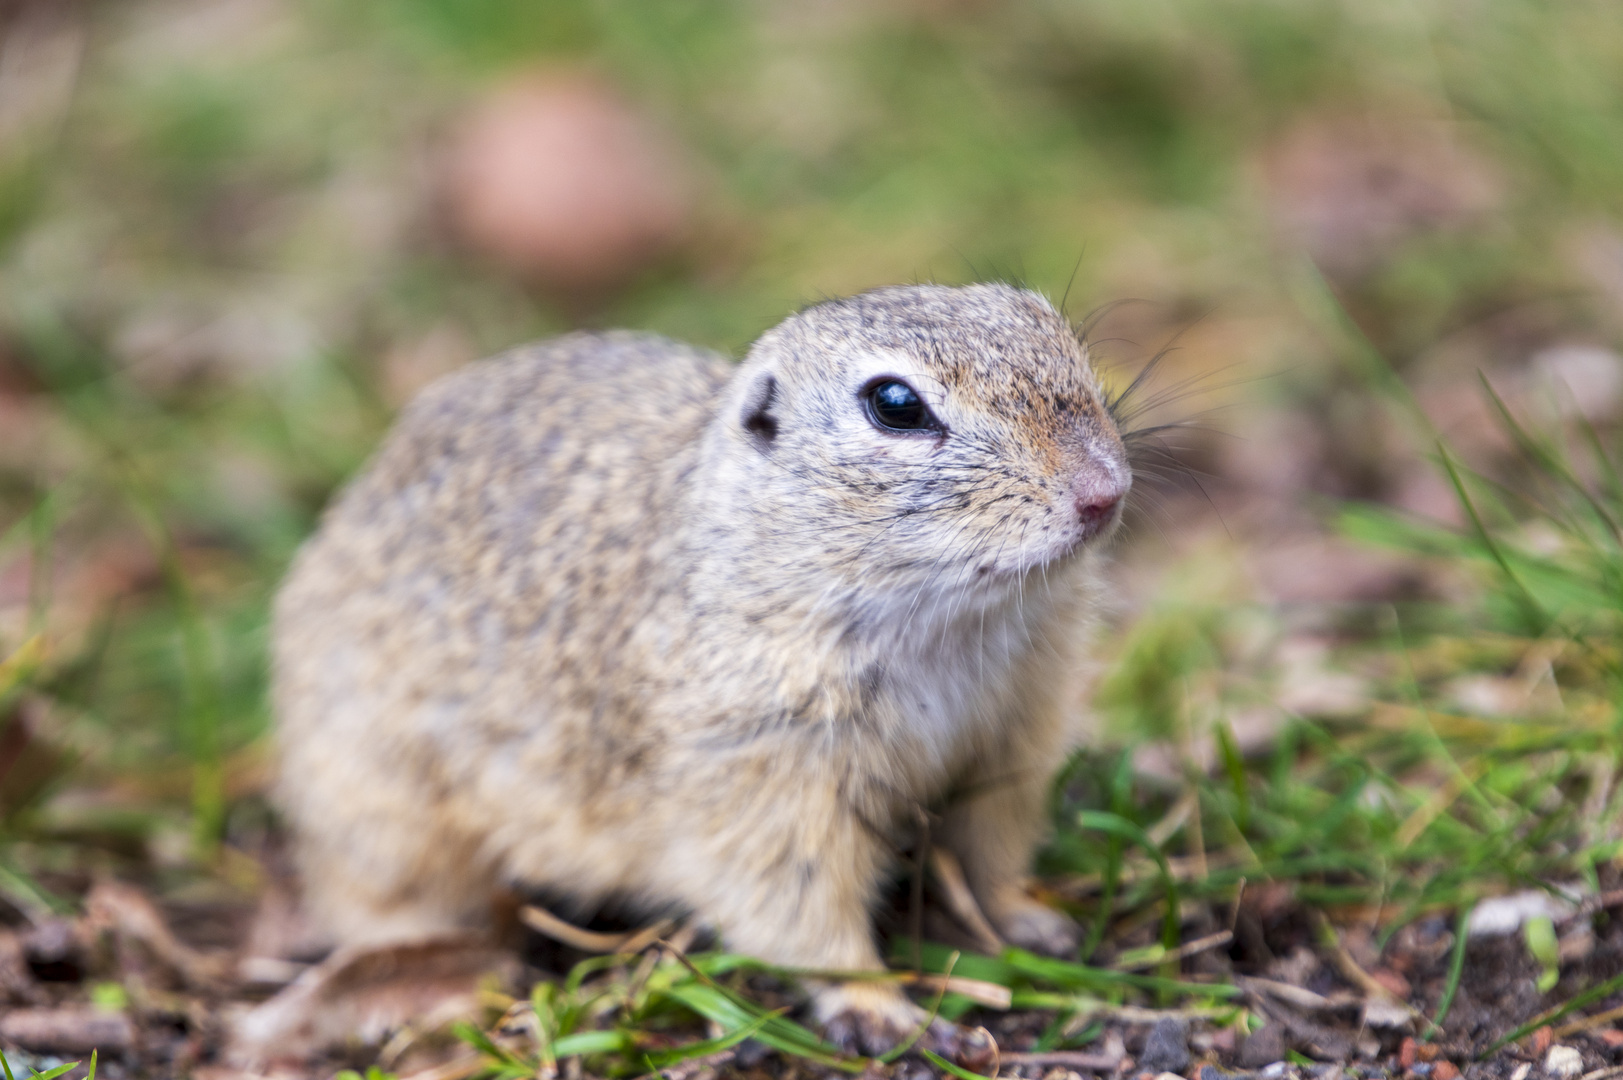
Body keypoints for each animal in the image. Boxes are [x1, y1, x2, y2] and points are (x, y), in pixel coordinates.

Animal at [275, 279, 1129, 1052]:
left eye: (1048, 324)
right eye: (894, 404)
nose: (1105, 491)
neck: (947, 625)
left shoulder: (1013, 735)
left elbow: (989, 850)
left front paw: (1028, 918)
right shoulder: (762, 782)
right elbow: (800, 910)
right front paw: (877, 1008)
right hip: (384, 804)